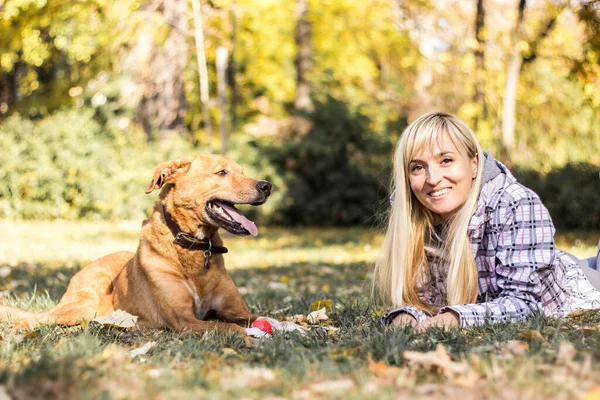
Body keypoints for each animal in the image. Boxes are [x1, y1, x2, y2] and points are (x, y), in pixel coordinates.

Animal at [0, 154, 272, 338]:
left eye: (242, 171)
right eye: (221, 173)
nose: (267, 186)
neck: (195, 248)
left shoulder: (238, 312)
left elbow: (268, 318)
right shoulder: (184, 319)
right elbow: (228, 327)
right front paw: (249, 337)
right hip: (83, 305)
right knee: (38, 319)